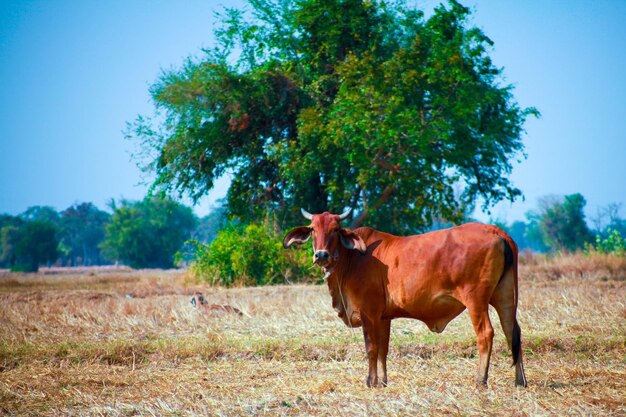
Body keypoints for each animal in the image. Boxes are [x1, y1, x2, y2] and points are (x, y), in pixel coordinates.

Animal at [284, 210, 528, 388]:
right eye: (313, 229)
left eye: (335, 229)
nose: (321, 255)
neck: (352, 258)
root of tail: (496, 231)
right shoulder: (384, 317)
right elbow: (383, 349)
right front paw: (382, 381)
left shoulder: (369, 313)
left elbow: (371, 347)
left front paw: (370, 382)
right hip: (506, 298)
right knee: (512, 332)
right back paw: (520, 381)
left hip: (476, 301)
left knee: (486, 334)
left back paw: (480, 380)